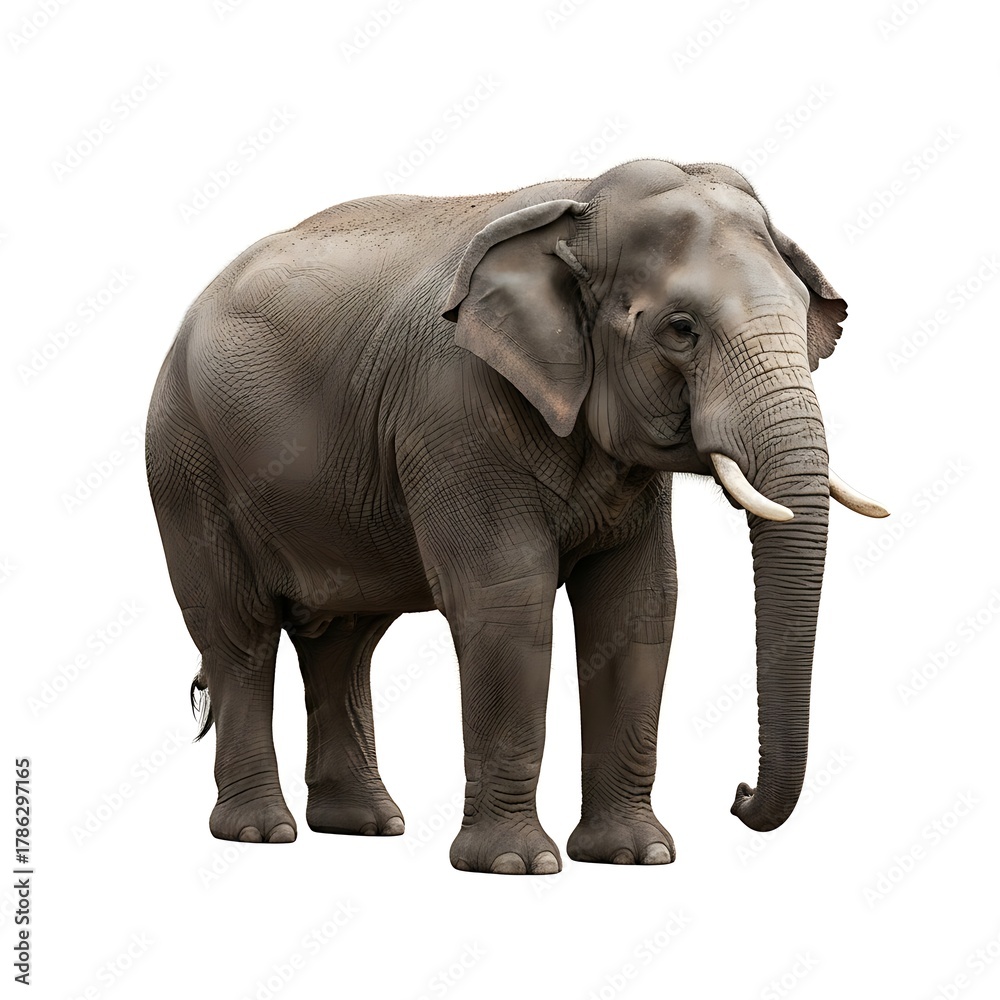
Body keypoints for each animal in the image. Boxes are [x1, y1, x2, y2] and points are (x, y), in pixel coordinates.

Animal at [145, 158, 887, 874]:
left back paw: (366, 826)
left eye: (806, 321)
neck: (580, 205)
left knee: (343, 641)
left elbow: (638, 604)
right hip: (186, 463)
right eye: (681, 329)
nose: (736, 795)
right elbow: (507, 598)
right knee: (239, 634)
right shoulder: (454, 410)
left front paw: (635, 857)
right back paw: (260, 832)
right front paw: (515, 865)